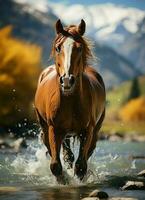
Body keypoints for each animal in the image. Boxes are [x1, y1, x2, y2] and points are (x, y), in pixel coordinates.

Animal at [34, 19, 105, 183]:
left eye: (79, 48)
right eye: (58, 47)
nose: (67, 80)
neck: (70, 100)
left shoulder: (87, 131)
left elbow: (81, 165)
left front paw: (79, 180)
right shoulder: (54, 129)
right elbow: (55, 164)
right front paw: (64, 180)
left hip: (95, 131)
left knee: (84, 154)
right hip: (48, 128)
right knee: (62, 154)